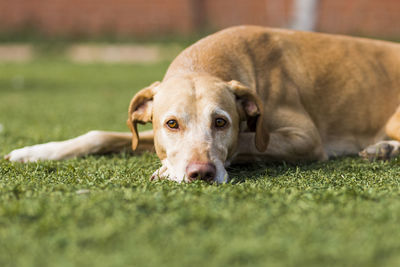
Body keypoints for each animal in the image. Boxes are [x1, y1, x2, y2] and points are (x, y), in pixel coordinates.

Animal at [4, 25, 400, 184]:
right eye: (171, 124)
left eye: (221, 122)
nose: (201, 174)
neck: (206, 62)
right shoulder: (151, 136)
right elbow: (100, 134)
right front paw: (33, 151)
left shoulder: (306, 140)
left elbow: (246, 142)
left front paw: (167, 171)